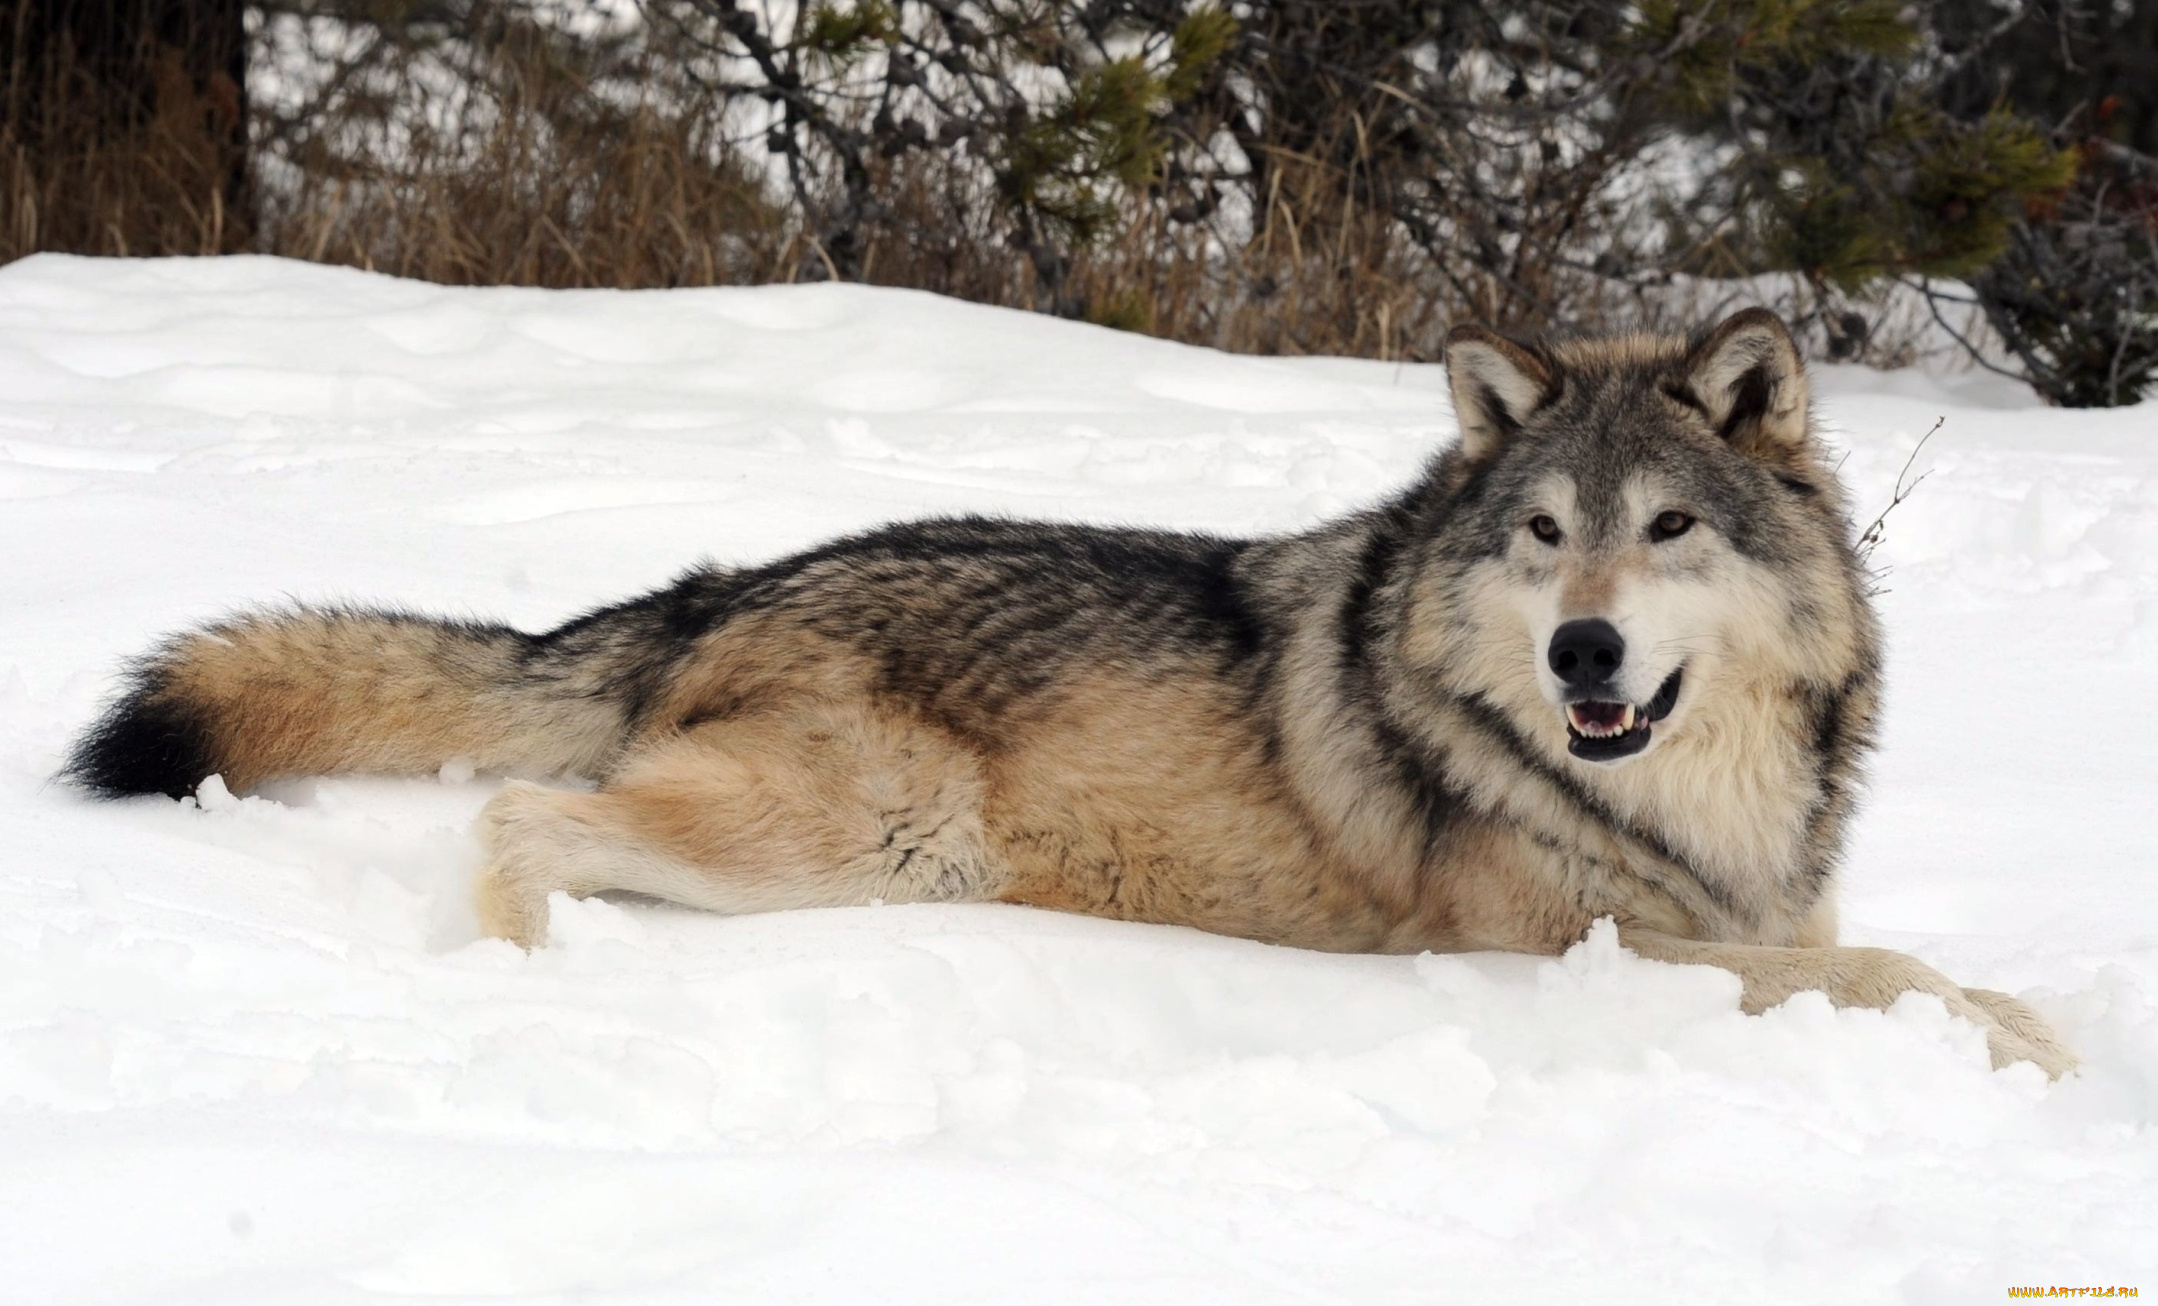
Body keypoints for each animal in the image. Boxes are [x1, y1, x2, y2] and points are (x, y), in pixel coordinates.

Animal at [63, 310, 2071, 1075]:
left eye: (1663, 530)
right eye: (1542, 535)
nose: (1581, 651)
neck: (1676, 790)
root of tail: (734, 579)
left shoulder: (1765, 906)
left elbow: (1862, 945)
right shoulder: (1564, 952)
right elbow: (1880, 972)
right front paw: (2032, 1040)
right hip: (862, 838)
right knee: (516, 813)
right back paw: (526, 992)